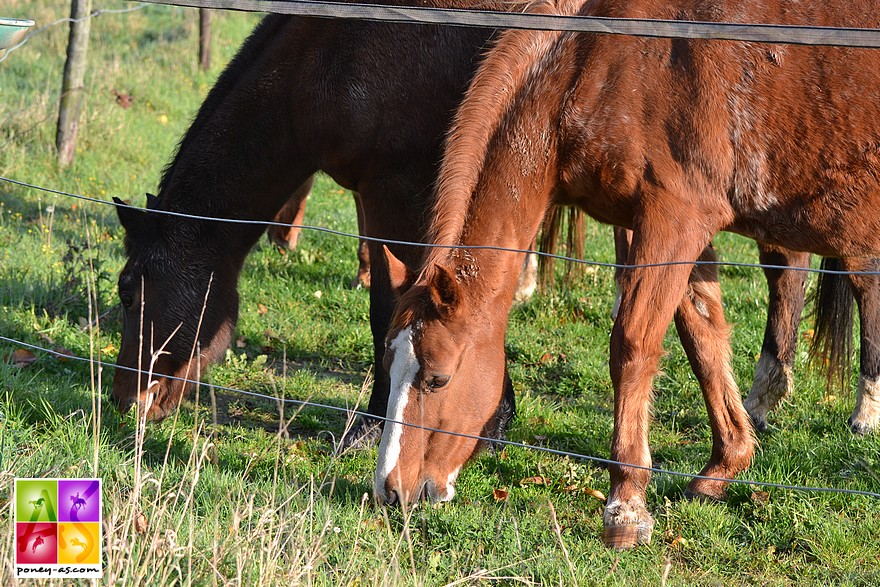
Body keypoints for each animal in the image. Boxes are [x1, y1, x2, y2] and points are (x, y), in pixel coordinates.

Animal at [111, 0, 524, 444]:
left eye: (129, 294)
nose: (124, 399)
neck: (330, 57)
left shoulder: (397, 193)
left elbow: (396, 305)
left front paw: (377, 424)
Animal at [376, 0, 880, 552]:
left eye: (437, 378)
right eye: (389, 364)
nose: (389, 491)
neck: (598, 62)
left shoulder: (673, 218)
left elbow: (633, 344)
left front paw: (625, 505)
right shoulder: (670, 231)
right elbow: (702, 340)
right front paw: (724, 465)